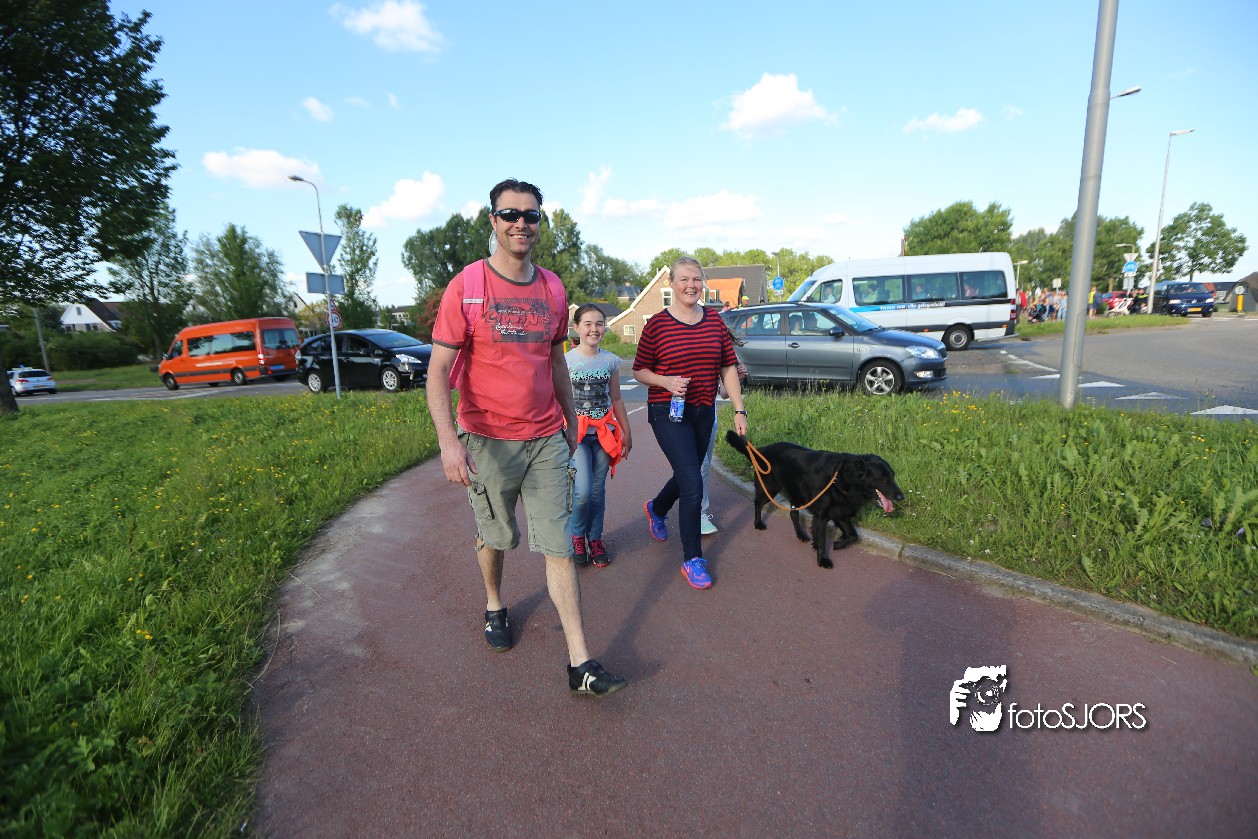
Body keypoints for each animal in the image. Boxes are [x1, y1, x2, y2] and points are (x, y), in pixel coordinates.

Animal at [726, 431, 904, 568]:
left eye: (893, 476)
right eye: (882, 477)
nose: (901, 497)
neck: (842, 479)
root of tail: (762, 450)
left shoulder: (840, 511)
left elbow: (854, 535)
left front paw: (839, 543)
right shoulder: (822, 516)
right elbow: (822, 540)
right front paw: (823, 560)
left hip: (795, 493)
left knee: (793, 514)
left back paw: (801, 535)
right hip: (770, 488)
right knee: (757, 503)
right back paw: (758, 523)